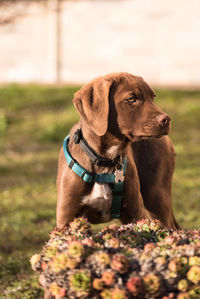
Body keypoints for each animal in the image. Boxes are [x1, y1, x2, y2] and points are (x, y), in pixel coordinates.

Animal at [56, 72, 180, 230]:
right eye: (131, 99)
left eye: (153, 97)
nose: (167, 120)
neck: (104, 160)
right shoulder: (66, 219)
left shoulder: (134, 213)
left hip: (157, 196)